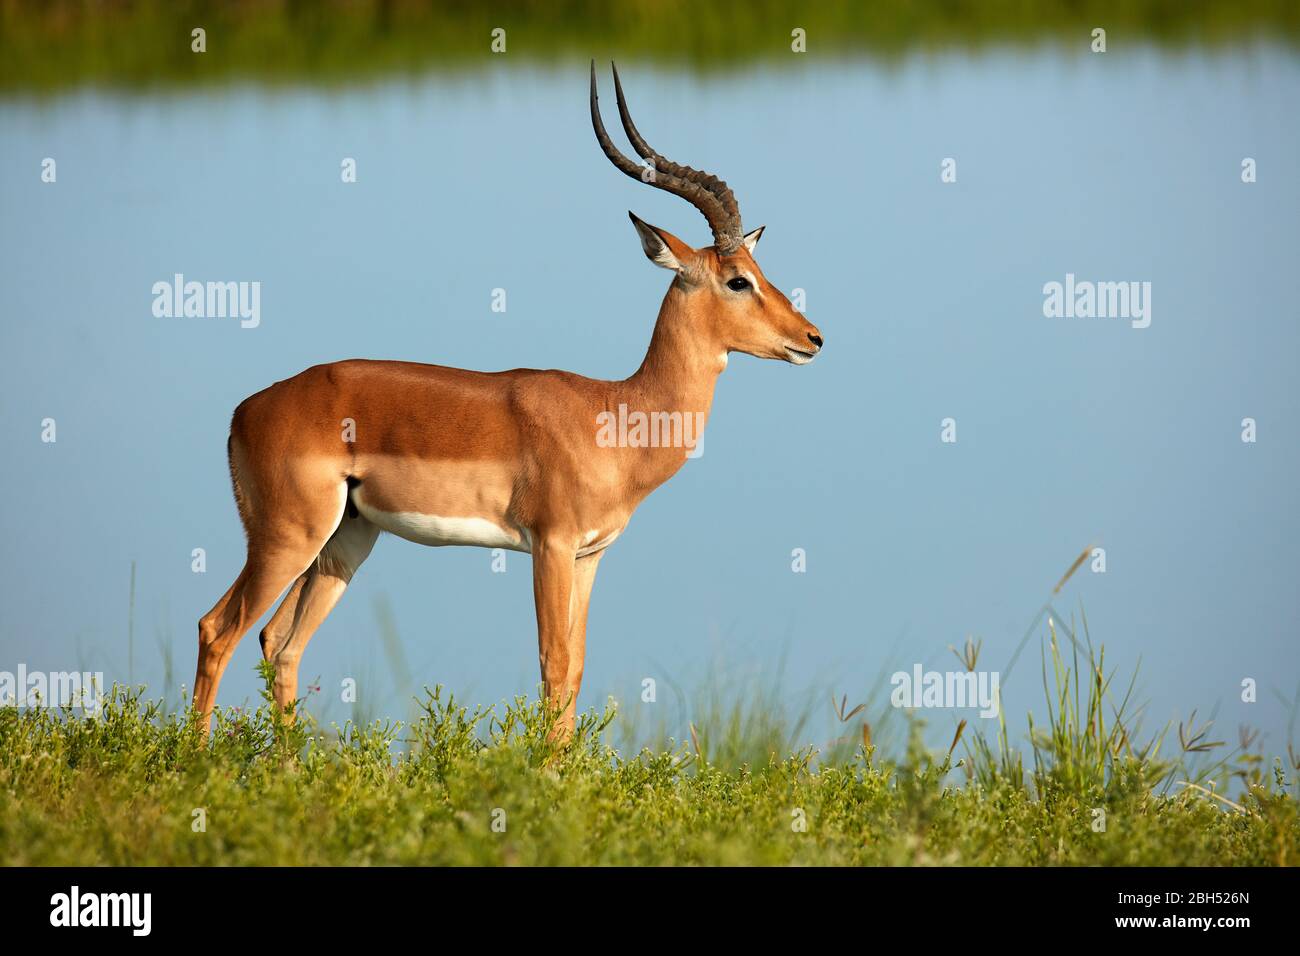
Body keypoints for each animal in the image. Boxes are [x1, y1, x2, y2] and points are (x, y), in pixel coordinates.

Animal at [192, 63, 824, 738]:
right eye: (738, 279)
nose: (813, 338)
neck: (616, 417)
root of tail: (245, 411)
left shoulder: (590, 555)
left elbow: (576, 669)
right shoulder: (548, 545)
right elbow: (553, 662)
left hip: (344, 542)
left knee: (280, 642)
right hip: (288, 536)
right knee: (219, 628)